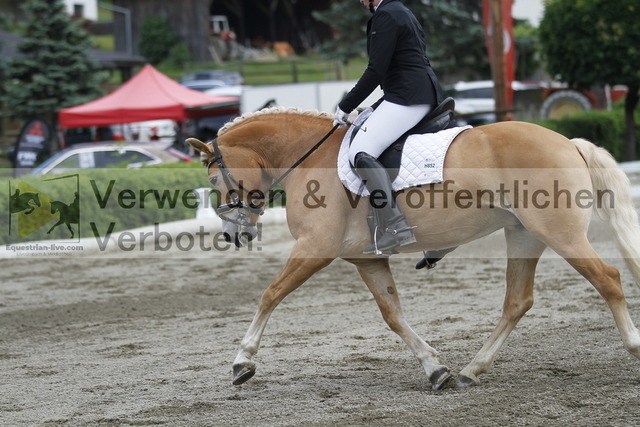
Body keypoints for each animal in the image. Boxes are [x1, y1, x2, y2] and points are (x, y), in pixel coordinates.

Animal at [186, 106, 640, 390]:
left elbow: (270, 294)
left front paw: (242, 362)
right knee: (518, 301)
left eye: (214, 180)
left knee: (609, 279)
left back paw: (634, 348)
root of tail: (569, 142)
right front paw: (436, 369)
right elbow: (393, 315)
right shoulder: (366, 260)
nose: (234, 236)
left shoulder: (316, 247)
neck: (308, 159)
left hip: (561, 234)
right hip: (524, 234)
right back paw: (472, 370)